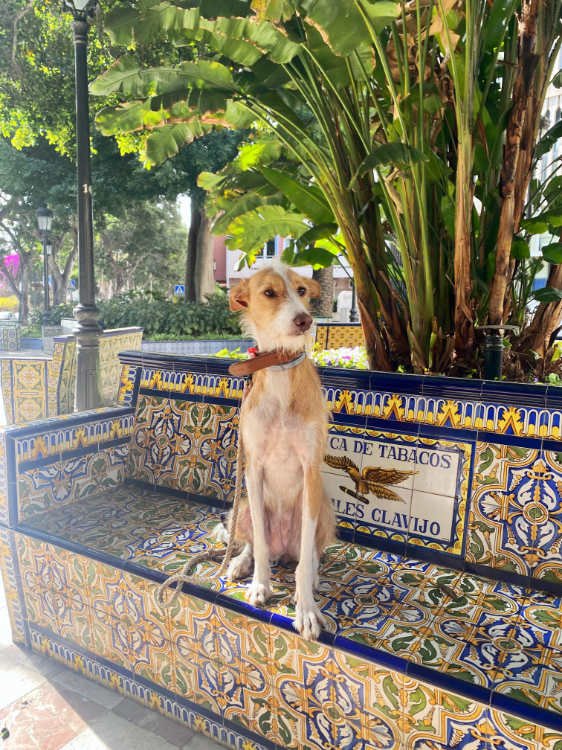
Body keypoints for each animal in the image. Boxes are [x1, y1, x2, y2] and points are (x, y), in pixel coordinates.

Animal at [226, 262, 334, 640]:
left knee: (309, 553)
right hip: (242, 507)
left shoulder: (310, 468)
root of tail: (282, 550)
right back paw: (240, 562)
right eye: (270, 293)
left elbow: (305, 560)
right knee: (252, 541)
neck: (280, 369)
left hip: (324, 507)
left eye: (301, 291)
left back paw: (311, 573)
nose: (304, 320)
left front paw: (306, 610)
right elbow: (258, 540)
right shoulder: (253, 468)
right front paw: (260, 584)